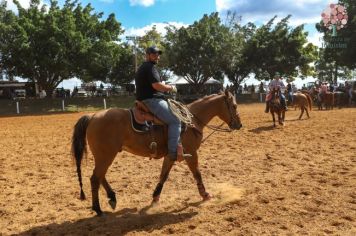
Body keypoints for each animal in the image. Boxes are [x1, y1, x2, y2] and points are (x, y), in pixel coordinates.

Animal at [70, 90, 242, 216]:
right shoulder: (191, 153)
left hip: (104, 156)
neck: (191, 120)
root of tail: (92, 116)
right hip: (106, 155)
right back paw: (98, 209)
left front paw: (155, 198)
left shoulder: (171, 155)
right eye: (234, 105)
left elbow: (163, 176)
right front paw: (205, 195)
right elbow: (197, 174)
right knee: (95, 178)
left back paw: (112, 198)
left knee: (100, 176)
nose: (239, 125)